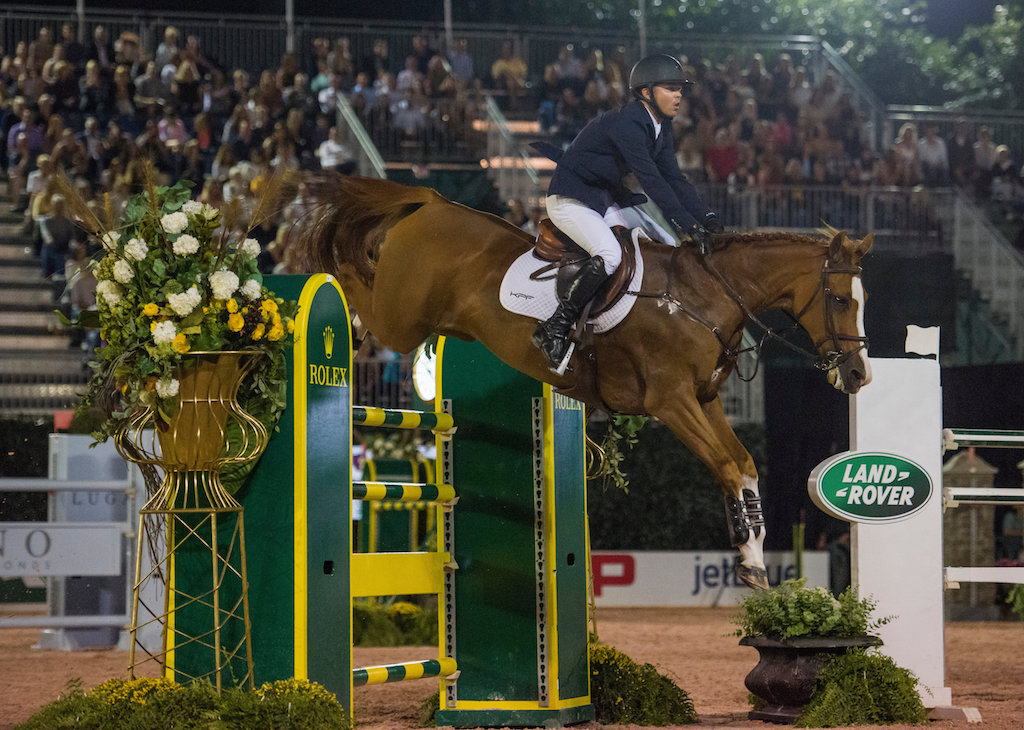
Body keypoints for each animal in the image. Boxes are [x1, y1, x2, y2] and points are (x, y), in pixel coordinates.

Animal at [299, 175, 876, 585]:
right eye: (840, 299)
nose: (857, 375)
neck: (703, 297)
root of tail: (434, 202)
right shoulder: (672, 402)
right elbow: (728, 468)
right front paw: (751, 561)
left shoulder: (706, 399)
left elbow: (744, 465)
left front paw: (753, 558)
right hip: (400, 318)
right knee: (352, 280)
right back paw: (316, 297)